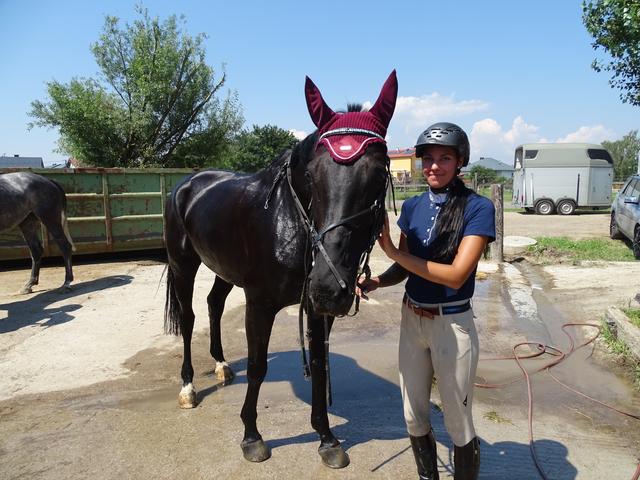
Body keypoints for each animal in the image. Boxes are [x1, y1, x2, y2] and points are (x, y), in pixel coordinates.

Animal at [164, 71, 397, 468]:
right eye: (313, 175)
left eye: (379, 175)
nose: (329, 285)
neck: (290, 219)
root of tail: (187, 184)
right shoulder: (259, 304)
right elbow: (258, 366)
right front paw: (252, 437)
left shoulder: (317, 308)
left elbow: (319, 364)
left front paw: (326, 438)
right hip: (183, 265)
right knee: (190, 317)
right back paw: (189, 386)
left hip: (224, 270)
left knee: (213, 304)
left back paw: (222, 365)